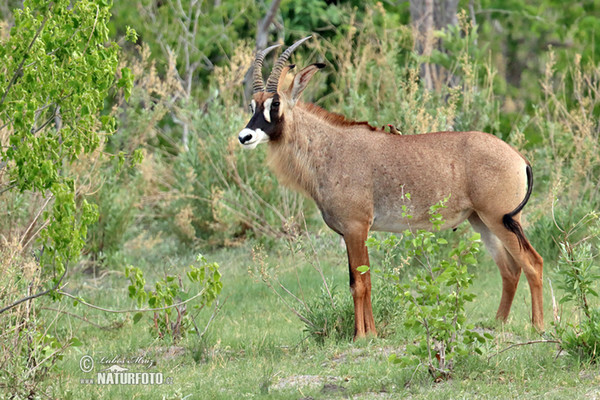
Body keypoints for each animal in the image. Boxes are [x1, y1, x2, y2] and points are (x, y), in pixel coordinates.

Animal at [238, 37, 544, 340]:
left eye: (276, 103)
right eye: (253, 105)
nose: (245, 136)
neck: (328, 148)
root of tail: (519, 158)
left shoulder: (356, 227)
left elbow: (361, 282)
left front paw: (363, 336)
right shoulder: (350, 232)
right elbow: (357, 280)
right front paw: (367, 333)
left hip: (500, 219)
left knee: (533, 263)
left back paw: (538, 326)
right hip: (481, 221)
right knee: (510, 270)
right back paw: (498, 323)